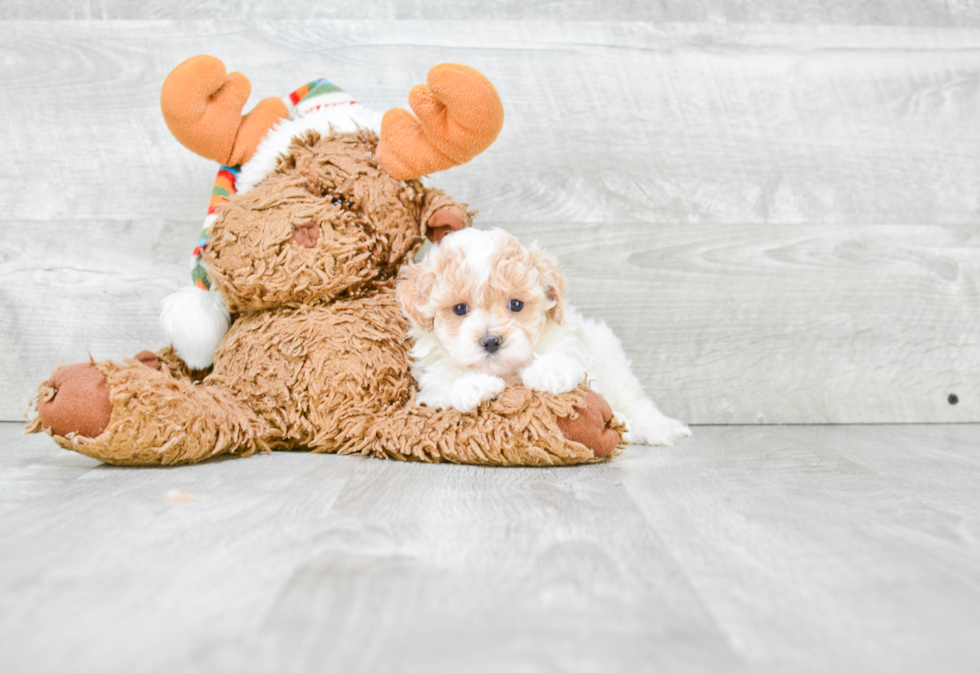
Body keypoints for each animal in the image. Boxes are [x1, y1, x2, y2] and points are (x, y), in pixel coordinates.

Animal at [394, 227, 692, 446]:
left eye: (516, 305)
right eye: (459, 309)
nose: (491, 341)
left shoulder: (570, 339)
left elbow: (564, 355)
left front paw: (550, 372)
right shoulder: (429, 381)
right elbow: (443, 384)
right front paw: (473, 385)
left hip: (615, 368)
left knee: (636, 403)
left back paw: (657, 428)